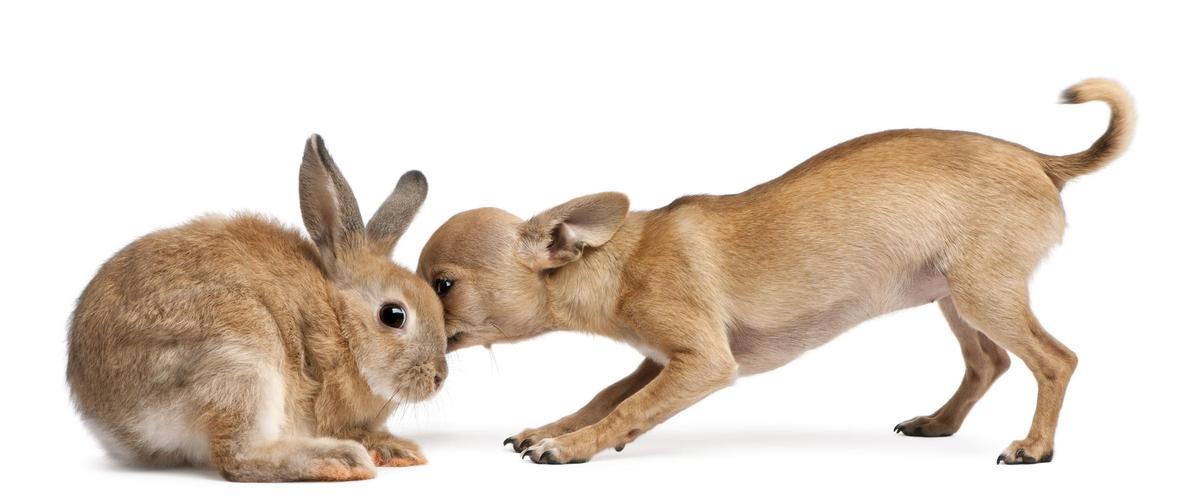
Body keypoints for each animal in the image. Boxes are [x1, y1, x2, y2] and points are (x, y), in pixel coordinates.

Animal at [67, 135, 448, 482]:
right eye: (393, 315)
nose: (438, 377)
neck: (339, 321)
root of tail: (106, 413)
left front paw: (395, 448)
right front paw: (388, 447)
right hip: (244, 359)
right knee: (238, 456)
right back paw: (339, 460)